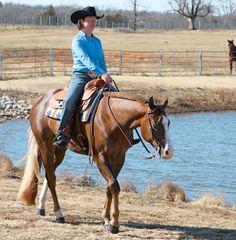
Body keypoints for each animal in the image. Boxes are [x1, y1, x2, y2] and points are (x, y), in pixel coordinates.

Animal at [18, 79, 173, 233]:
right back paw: (59, 214)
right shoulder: (100, 157)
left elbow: (110, 186)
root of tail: (39, 101)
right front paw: (114, 223)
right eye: (155, 124)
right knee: (51, 177)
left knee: (49, 174)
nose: (168, 151)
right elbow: (114, 185)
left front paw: (106, 219)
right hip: (45, 145)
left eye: (169, 123)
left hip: (59, 150)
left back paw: (41, 207)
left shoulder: (119, 157)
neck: (113, 119)